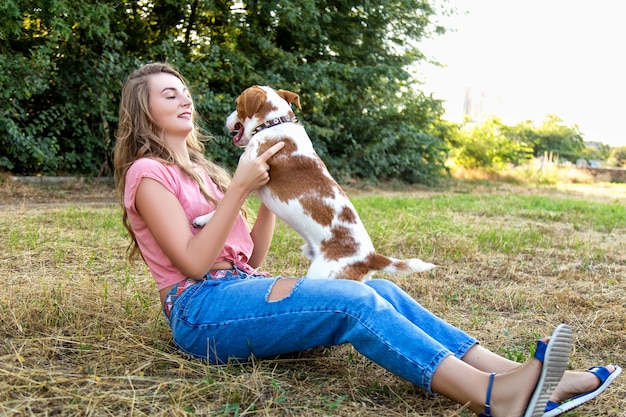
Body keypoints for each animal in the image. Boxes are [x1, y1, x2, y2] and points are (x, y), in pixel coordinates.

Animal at [194, 85, 434, 282]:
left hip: (321, 276)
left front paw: (203, 220)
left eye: (237, 105)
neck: (272, 124)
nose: (226, 119)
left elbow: (225, 205)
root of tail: (370, 257)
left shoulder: (248, 178)